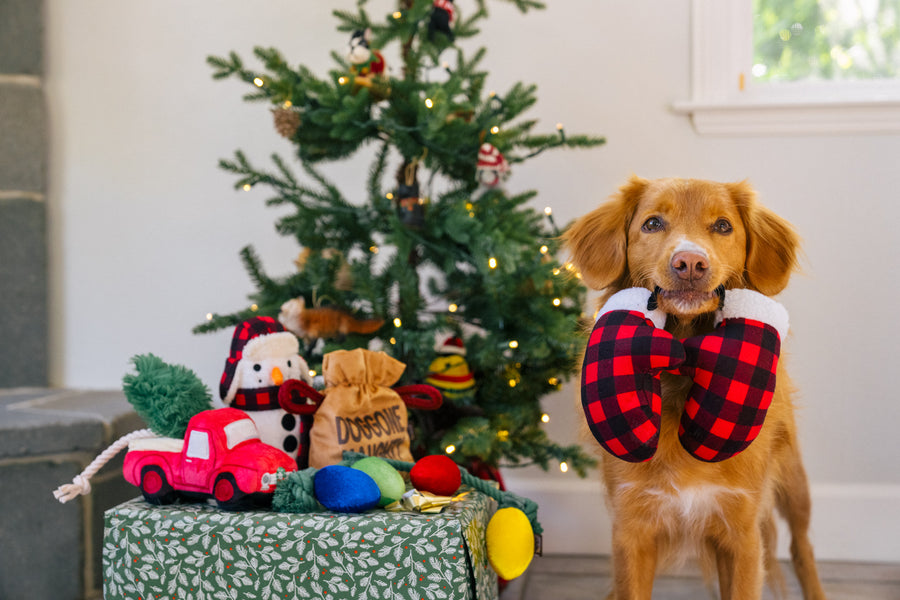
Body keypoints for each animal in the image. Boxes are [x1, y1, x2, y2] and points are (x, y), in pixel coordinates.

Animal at [568, 176, 828, 596]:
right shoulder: (632, 531)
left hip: (794, 486)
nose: (690, 263)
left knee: (802, 547)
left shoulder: (742, 533)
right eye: (653, 223)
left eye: (722, 226)